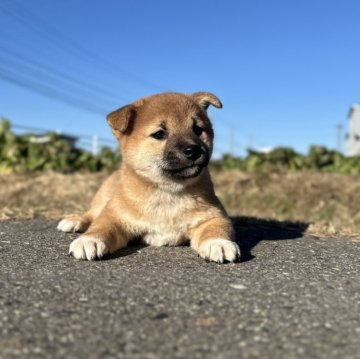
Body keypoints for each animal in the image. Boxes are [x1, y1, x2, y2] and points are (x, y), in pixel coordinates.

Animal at [58, 91, 239, 262]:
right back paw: (75, 220)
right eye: (159, 134)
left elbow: (217, 228)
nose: (194, 150)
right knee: (92, 213)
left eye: (198, 130)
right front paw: (89, 240)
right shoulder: (115, 213)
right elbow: (101, 225)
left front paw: (218, 242)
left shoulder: (214, 215)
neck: (167, 192)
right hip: (103, 198)